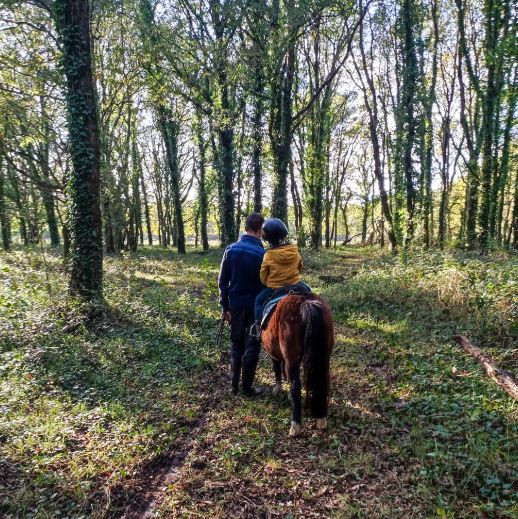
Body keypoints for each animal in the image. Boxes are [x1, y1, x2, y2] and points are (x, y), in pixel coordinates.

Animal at [262, 294, 336, 436]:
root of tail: (307, 303)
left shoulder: (273, 352)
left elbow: (276, 368)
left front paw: (278, 388)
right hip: (324, 356)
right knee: (322, 381)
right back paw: (321, 419)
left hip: (292, 360)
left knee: (296, 386)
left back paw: (295, 425)